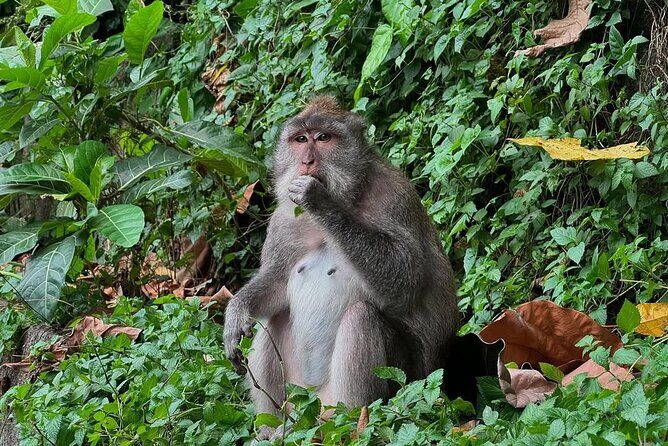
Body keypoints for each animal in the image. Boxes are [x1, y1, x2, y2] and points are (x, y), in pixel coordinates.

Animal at [223, 95, 459, 429]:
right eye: (300, 140)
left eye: (323, 138)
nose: (308, 162)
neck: (351, 194)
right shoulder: (283, 220)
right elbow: (277, 279)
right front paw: (236, 314)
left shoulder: (395, 196)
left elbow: (405, 280)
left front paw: (319, 200)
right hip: (300, 400)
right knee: (274, 319)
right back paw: (271, 429)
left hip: (408, 379)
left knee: (361, 316)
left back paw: (352, 423)